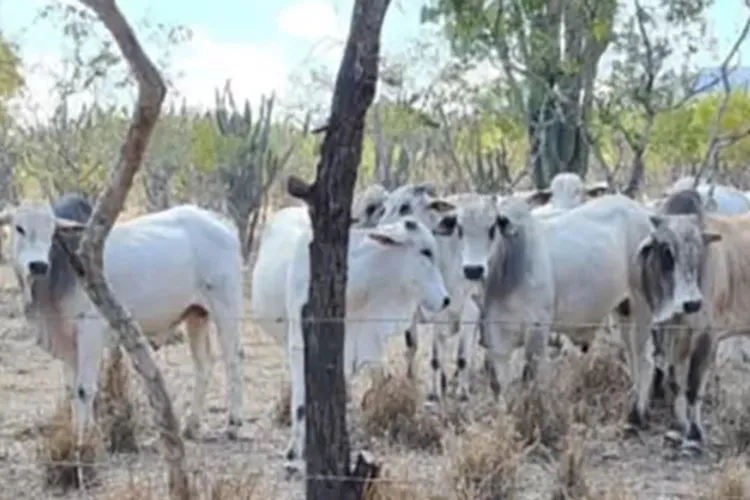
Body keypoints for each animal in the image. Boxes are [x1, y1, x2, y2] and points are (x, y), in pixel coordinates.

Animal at [1, 196, 245, 450]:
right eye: (19, 228)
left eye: (51, 232)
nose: (38, 265)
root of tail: (221, 223)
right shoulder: (66, 341)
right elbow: (71, 391)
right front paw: (78, 437)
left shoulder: (90, 330)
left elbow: (85, 389)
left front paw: (85, 443)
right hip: (196, 315)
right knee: (204, 364)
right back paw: (192, 425)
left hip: (226, 307)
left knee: (234, 359)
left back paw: (233, 424)